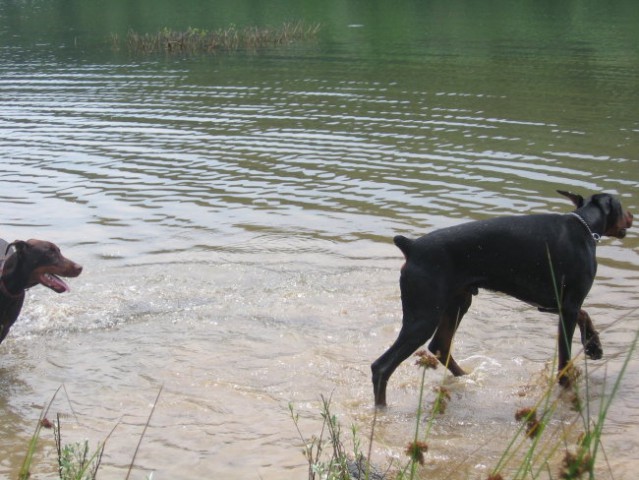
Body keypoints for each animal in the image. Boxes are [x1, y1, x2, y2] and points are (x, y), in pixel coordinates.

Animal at [372, 190, 632, 404]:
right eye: (621, 205)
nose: (631, 215)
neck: (585, 225)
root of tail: (411, 246)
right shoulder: (569, 305)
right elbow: (565, 354)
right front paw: (568, 383)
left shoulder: (553, 304)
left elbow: (584, 314)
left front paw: (594, 346)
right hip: (425, 315)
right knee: (382, 366)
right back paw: (381, 410)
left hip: (458, 302)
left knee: (440, 346)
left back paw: (466, 377)